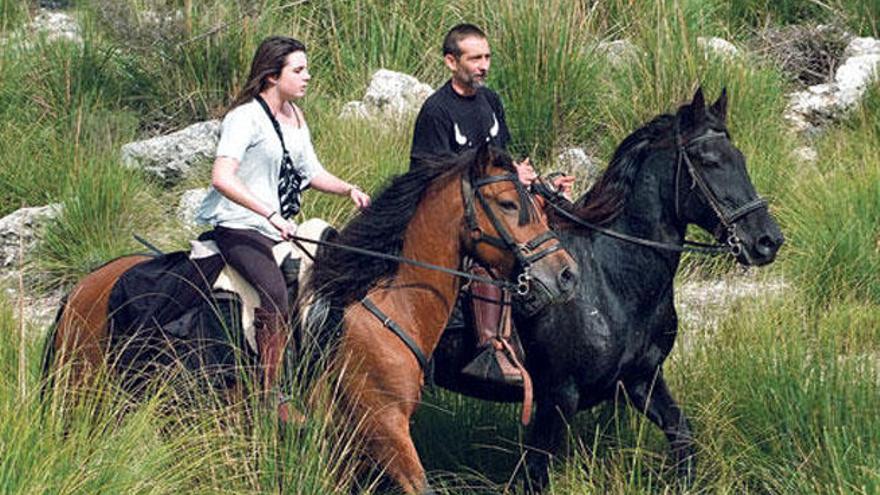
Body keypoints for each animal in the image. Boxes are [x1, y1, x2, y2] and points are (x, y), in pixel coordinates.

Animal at [434, 88, 784, 488]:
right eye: (709, 161)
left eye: (739, 158)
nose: (767, 241)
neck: (611, 278)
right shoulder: (557, 396)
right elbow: (536, 472)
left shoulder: (641, 380)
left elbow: (682, 436)